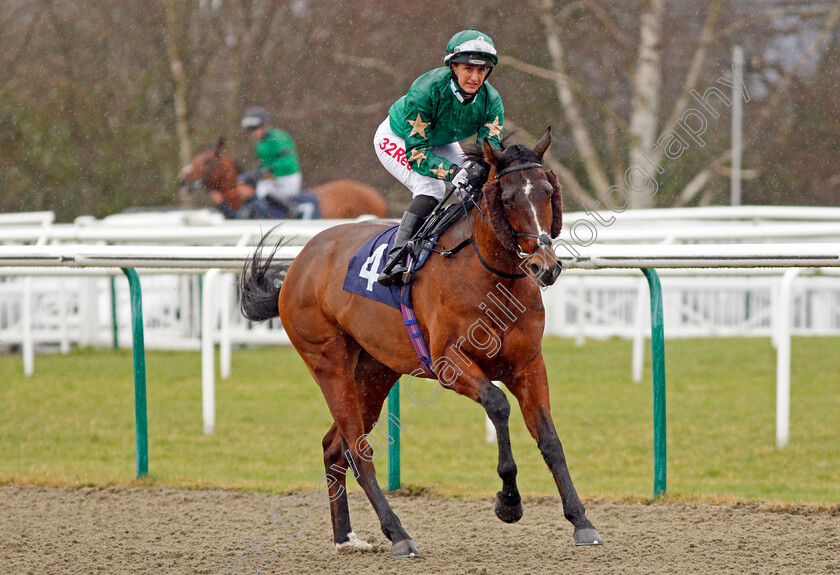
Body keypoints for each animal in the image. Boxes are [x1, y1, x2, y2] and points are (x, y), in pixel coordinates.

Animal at [240, 127, 600, 560]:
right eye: (509, 197)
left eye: (547, 191)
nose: (546, 267)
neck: (490, 274)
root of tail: (300, 262)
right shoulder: (450, 363)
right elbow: (498, 405)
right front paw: (509, 502)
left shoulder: (528, 364)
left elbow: (549, 438)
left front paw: (581, 521)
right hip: (329, 362)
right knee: (357, 449)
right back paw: (398, 533)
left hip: (374, 371)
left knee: (333, 445)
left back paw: (346, 536)